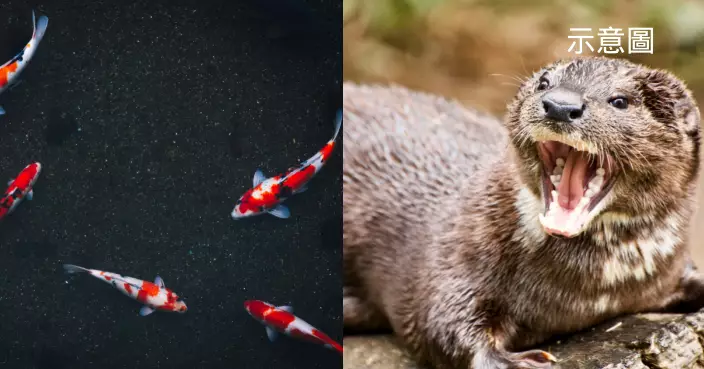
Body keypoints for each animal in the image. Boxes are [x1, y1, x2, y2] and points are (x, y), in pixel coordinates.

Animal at [340, 55, 704, 368]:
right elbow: (437, 324)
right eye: (544, 83)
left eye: (620, 101)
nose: (560, 106)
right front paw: (516, 361)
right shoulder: (454, 252)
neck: (594, 290)